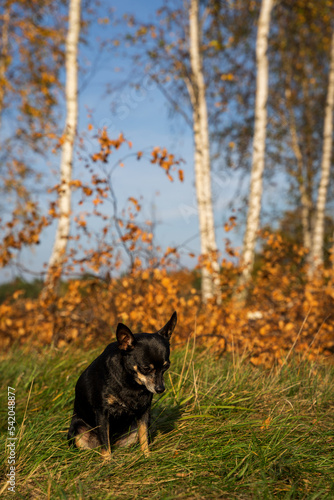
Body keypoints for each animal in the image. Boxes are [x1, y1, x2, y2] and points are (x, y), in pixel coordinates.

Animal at [68, 312, 177, 458]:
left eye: (166, 366)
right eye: (145, 368)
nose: (160, 389)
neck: (131, 383)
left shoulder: (144, 412)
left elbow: (144, 437)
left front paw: (147, 456)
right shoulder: (102, 413)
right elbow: (105, 443)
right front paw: (107, 461)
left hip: (132, 429)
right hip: (78, 431)